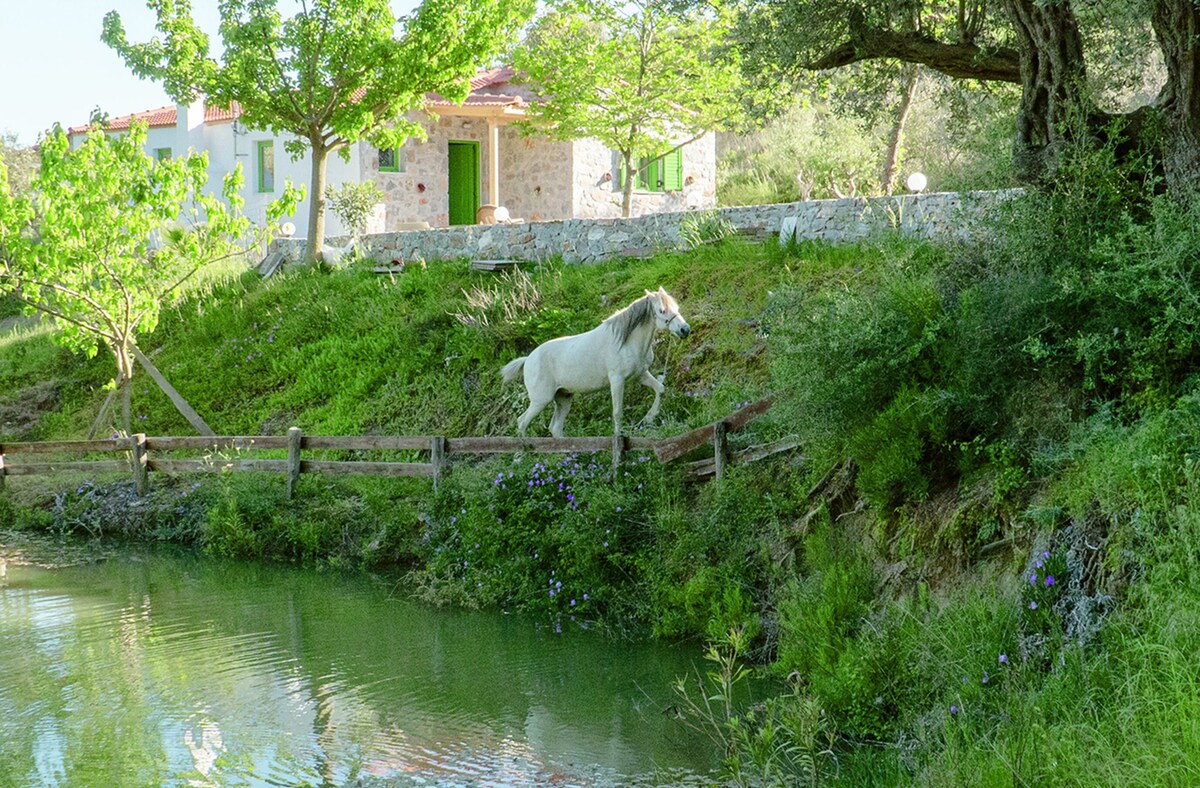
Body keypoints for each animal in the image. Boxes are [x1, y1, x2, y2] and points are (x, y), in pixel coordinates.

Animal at [501, 285, 696, 438]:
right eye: (662, 310)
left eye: (676, 307)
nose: (685, 330)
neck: (625, 341)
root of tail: (528, 359)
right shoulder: (617, 381)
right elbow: (617, 412)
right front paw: (620, 436)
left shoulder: (640, 374)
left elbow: (660, 389)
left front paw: (648, 418)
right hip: (541, 400)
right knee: (522, 422)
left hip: (563, 397)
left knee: (555, 428)